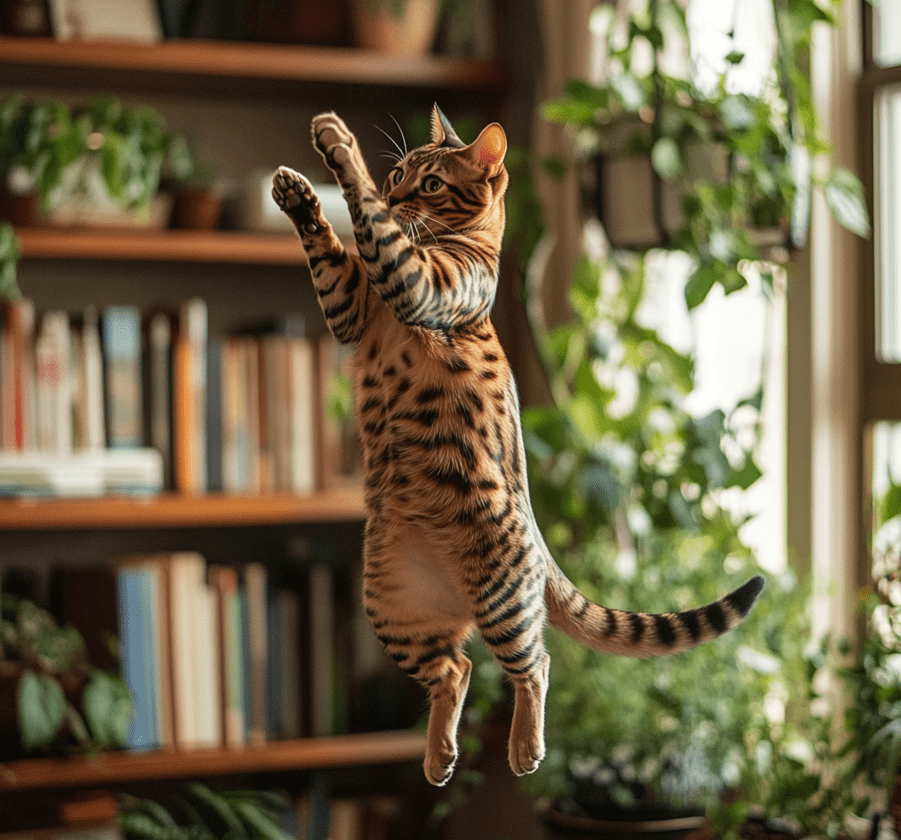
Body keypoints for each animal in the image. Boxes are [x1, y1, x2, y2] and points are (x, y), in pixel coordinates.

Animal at [270, 105, 764, 788]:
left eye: (428, 184)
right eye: (398, 173)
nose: (396, 195)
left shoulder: (417, 285)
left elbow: (369, 222)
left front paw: (341, 149)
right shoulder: (351, 308)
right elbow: (332, 251)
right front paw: (298, 193)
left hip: (499, 596)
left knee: (533, 664)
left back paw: (525, 747)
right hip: (392, 608)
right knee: (456, 671)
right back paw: (439, 757)